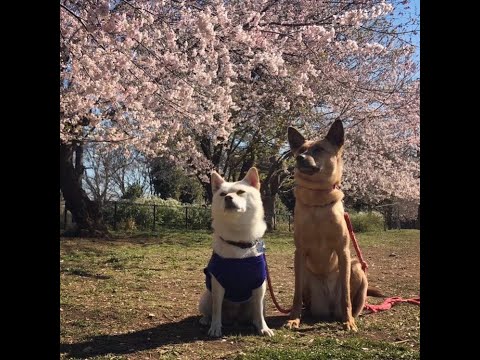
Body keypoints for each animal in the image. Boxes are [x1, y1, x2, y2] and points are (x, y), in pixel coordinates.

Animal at [199, 168, 274, 338]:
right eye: (222, 194)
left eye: (240, 192)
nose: (228, 197)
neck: (238, 241)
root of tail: (235, 319)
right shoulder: (218, 284)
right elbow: (216, 310)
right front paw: (215, 327)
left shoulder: (259, 285)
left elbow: (259, 311)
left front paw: (264, 328)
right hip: (206, 296)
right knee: (209, 311)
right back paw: (206, 320)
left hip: (258, 301)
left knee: (256, 312)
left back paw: (254, 323)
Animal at [284, 120, 376, 332]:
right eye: (301, 150)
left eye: (319, 149)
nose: (299, 158)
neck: (318, 198)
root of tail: (328, 309)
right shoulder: (299, 252)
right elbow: (296, 294)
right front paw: (294, 319)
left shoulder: (343, 251)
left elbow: (346, 295)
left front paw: (348, 321)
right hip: (306, 275)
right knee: (305, 299)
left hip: (356, 266)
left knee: (352, 300)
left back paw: (349, 316)